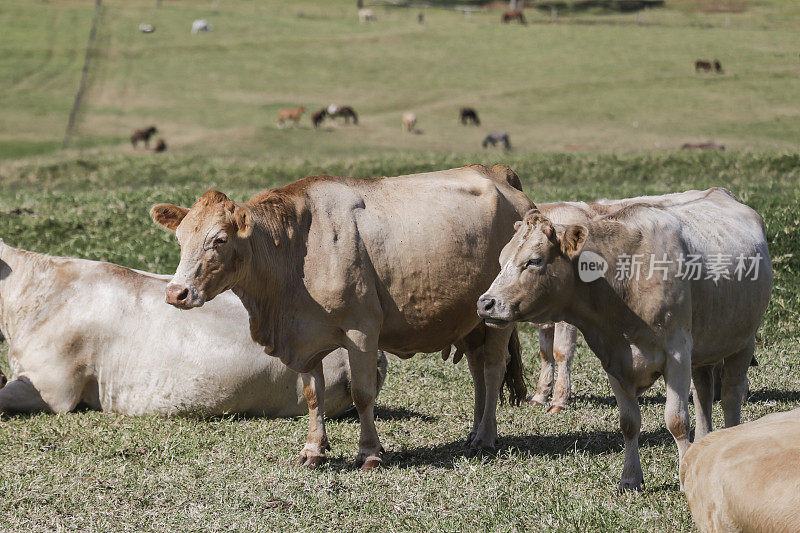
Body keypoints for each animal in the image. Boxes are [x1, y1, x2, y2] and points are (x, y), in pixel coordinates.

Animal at [152, 164, 536, 468]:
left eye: (218, 239)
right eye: (180, 239)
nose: (176, 292)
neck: (299, 249)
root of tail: (496, 172)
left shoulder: (361, 330)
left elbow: (363, 393)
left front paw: (369, 453)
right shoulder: (305, 337)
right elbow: (312, 394)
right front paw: (313, 450)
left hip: (497, 315)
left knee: (492, 368)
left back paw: (485, 436)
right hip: (471, 321)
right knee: (477, 370)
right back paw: (474, 432)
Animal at [478, 188, 772, 490]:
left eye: (534, 260)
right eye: (500, 260)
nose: (486, 303)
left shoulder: (677, 354)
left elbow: (677, 421)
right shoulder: (613, 358)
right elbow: (628, 422)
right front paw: (630, 478)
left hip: (742, 341)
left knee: (730, 396)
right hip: (706, 349)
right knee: (703, 393)